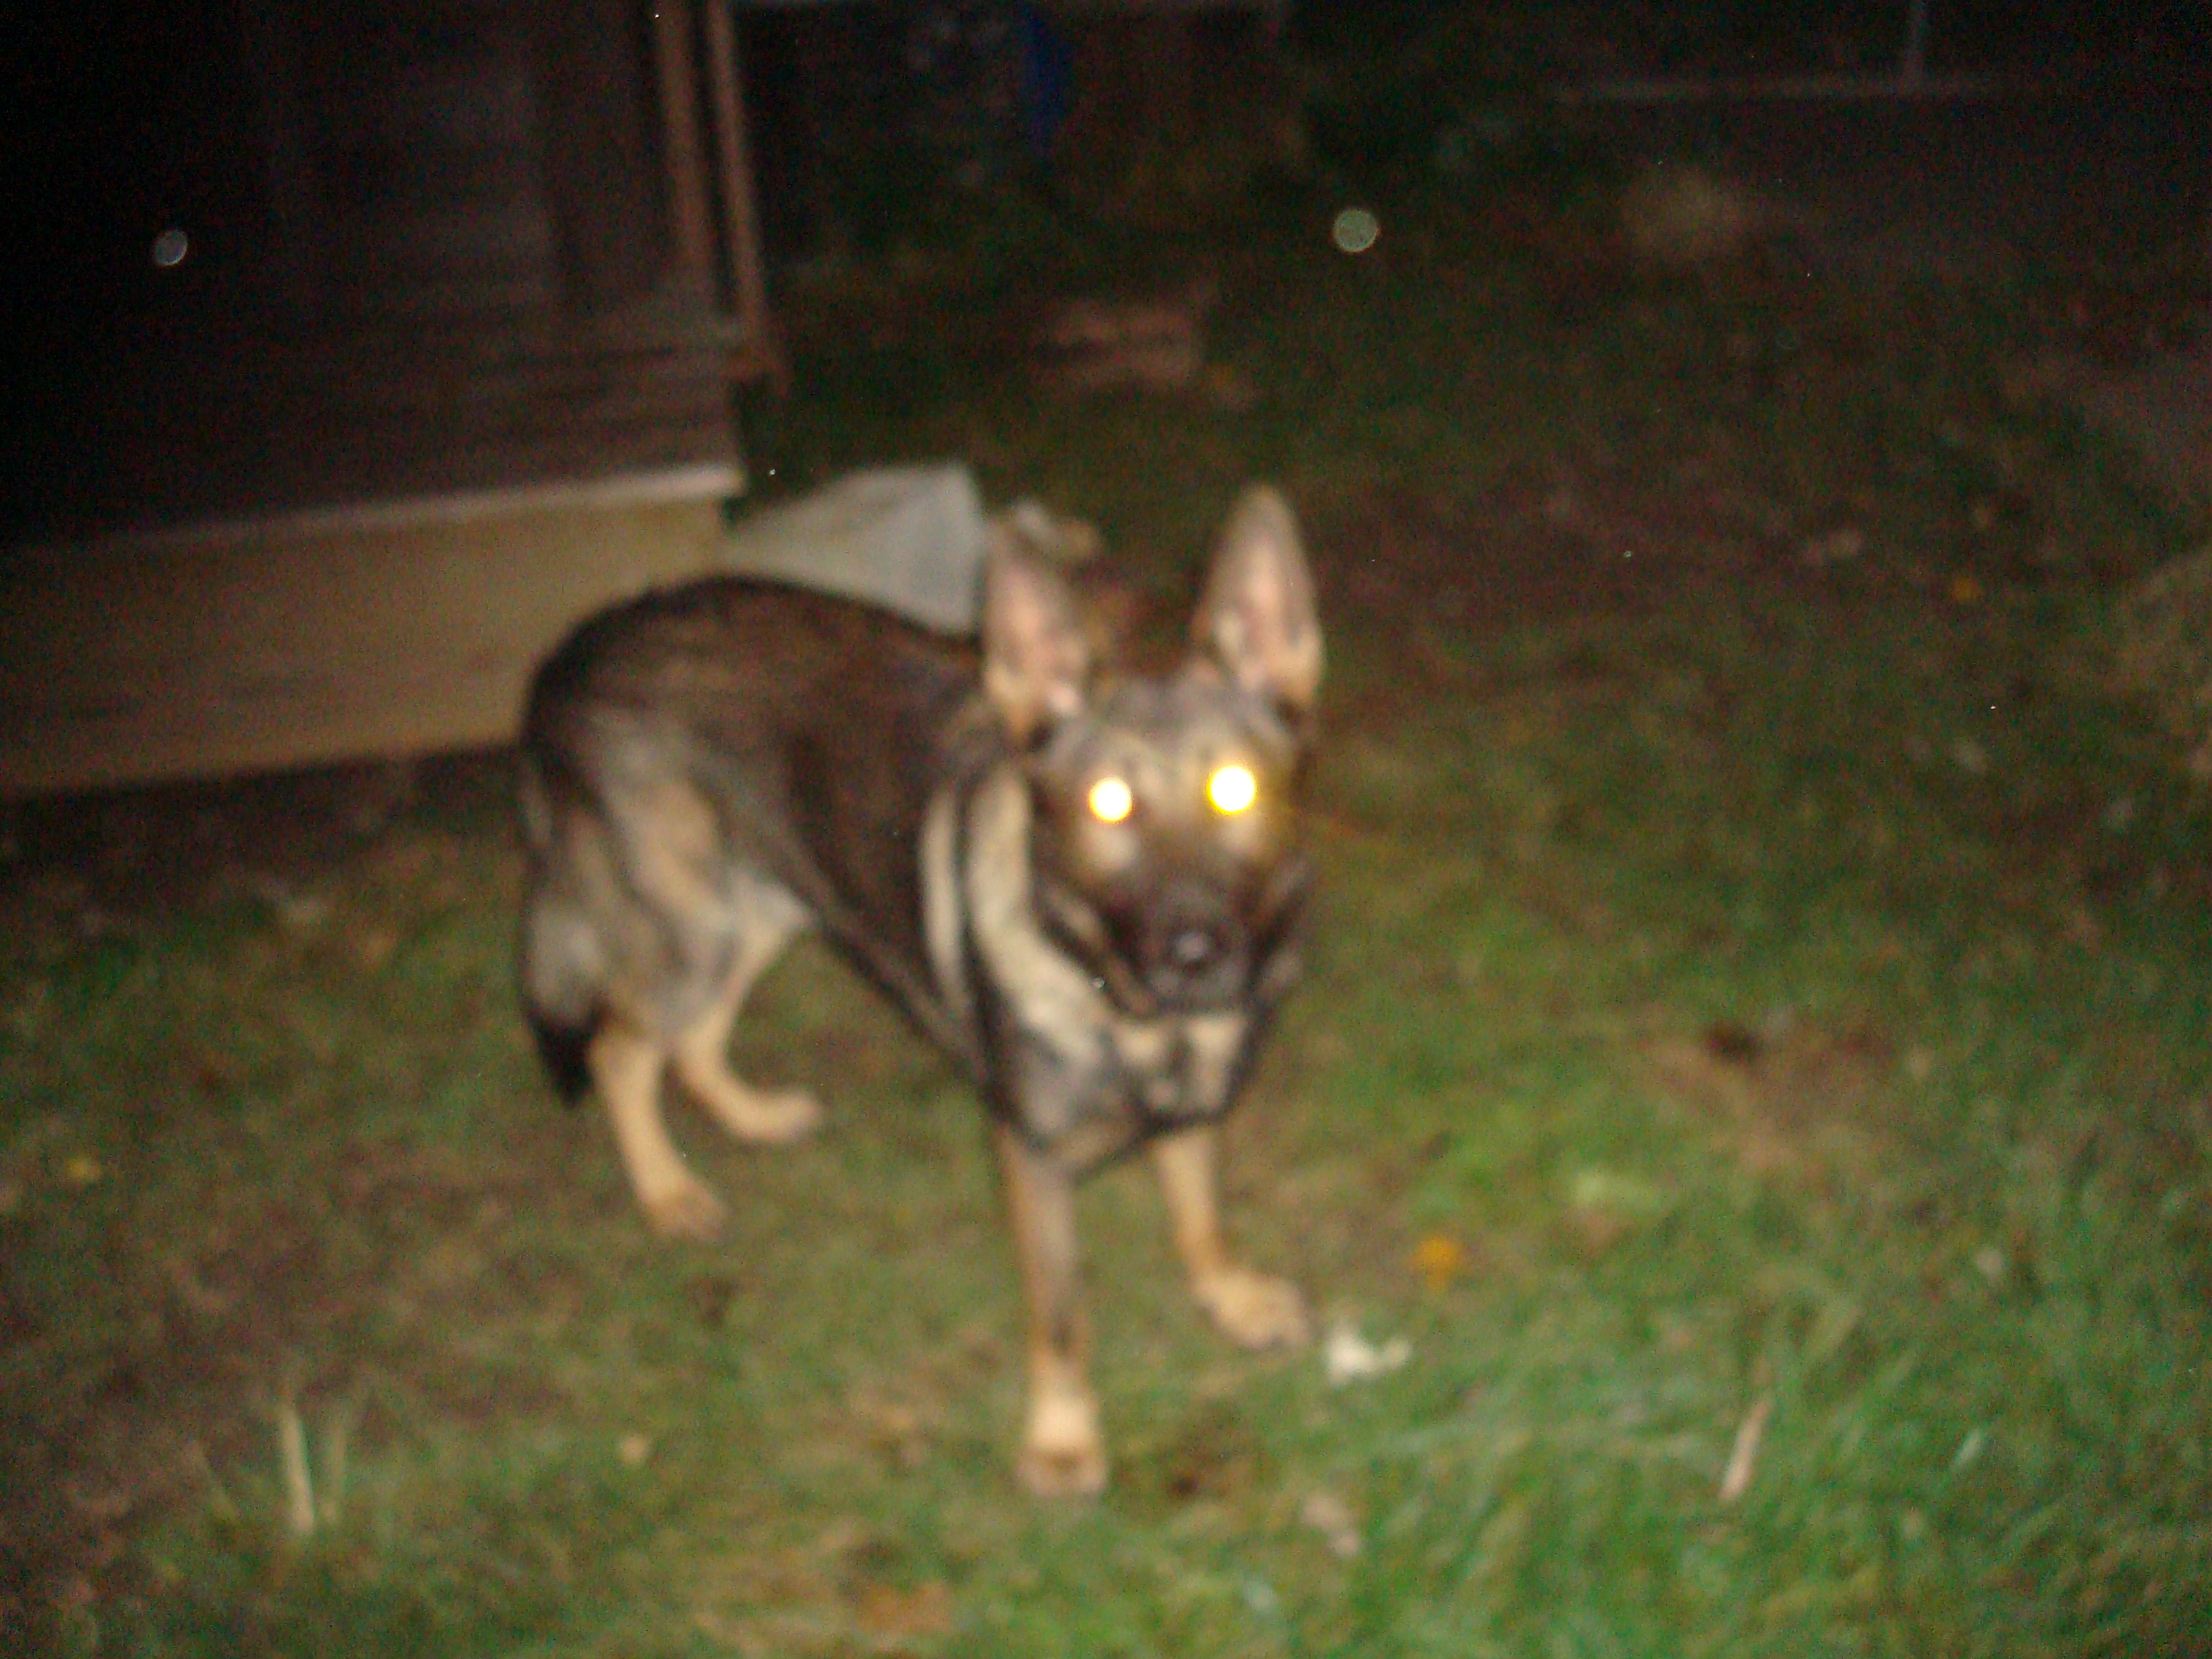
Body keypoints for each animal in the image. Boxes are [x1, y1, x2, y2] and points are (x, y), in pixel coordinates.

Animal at [515, 485, 1322, 1495]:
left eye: (1235, 788)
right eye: (1107, 805)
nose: (1194, 953)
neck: (1119, 1006)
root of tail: (575, 646)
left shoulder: (1192, 1109)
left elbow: (1202, 1214)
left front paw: (1229, 1294)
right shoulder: (1032, 1161)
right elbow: (1061, 1318)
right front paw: (1062, 1437)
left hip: (769, 900)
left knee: (693, 1044)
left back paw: (752, 1118)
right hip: (688, 923)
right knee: (622, 1050)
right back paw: (668, 1193)